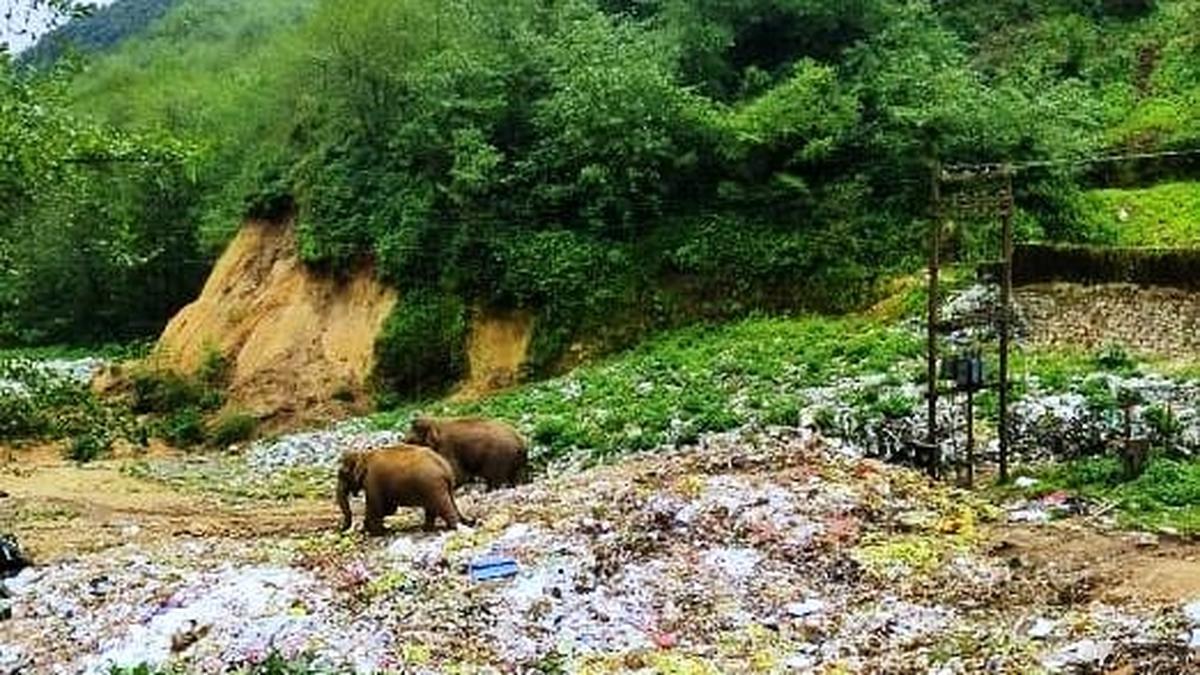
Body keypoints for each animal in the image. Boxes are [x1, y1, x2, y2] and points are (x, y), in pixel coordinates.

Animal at [336, 444, 474, 535]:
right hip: (434, 488)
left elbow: (376, 506)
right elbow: (388, 508)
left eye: (342, 473)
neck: (365, 455)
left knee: (442, 506)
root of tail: (446, 469)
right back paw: (426, 529)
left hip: (434, 487)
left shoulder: (372, 481)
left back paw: (453, 527)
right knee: (433, 508)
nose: (340, 530)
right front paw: (376, 529)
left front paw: (375, 532)